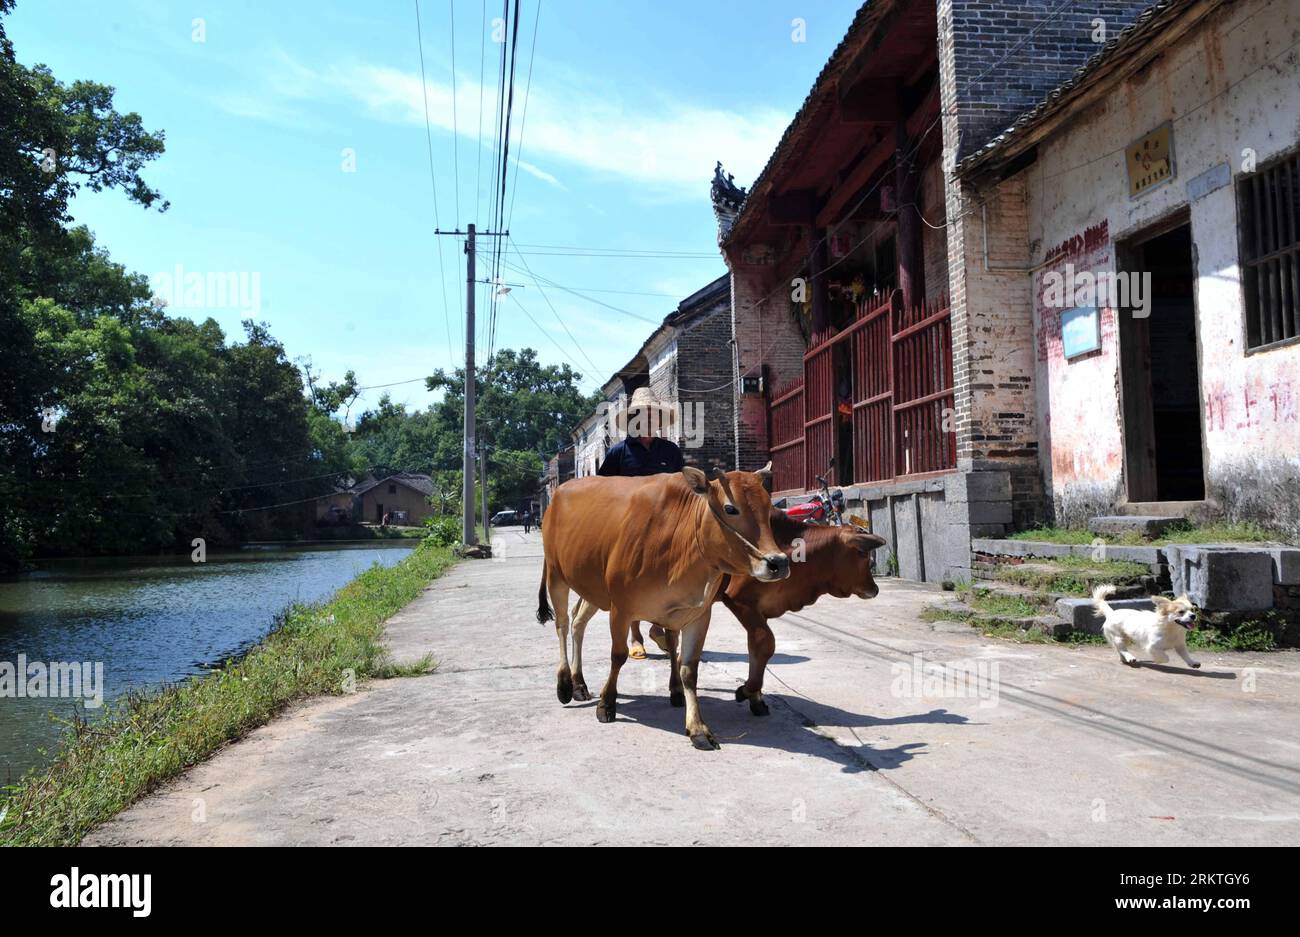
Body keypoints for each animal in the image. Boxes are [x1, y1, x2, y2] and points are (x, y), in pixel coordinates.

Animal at [535, 465, 785, 748]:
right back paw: (565, 684)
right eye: (731, 508)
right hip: (556, 576)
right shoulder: (621, 607)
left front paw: (697, 727)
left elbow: (688, 668)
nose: (778, 562)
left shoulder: (698, 615)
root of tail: (558, 493)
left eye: (768, 507)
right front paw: (606, 704)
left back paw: (579, 684)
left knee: (578, 622)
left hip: (592, 588)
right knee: (562, 624)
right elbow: (618, 656)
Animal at [569, 504, 883, 717]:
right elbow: (765, 642)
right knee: (577, 620)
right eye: (861, 553)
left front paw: (756, 697)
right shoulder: (740, 601)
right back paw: (578, 683)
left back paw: (673, 689)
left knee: (665, 636)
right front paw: (747, 690)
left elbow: (757, 647)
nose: (875, 588)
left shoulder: (759, 607)